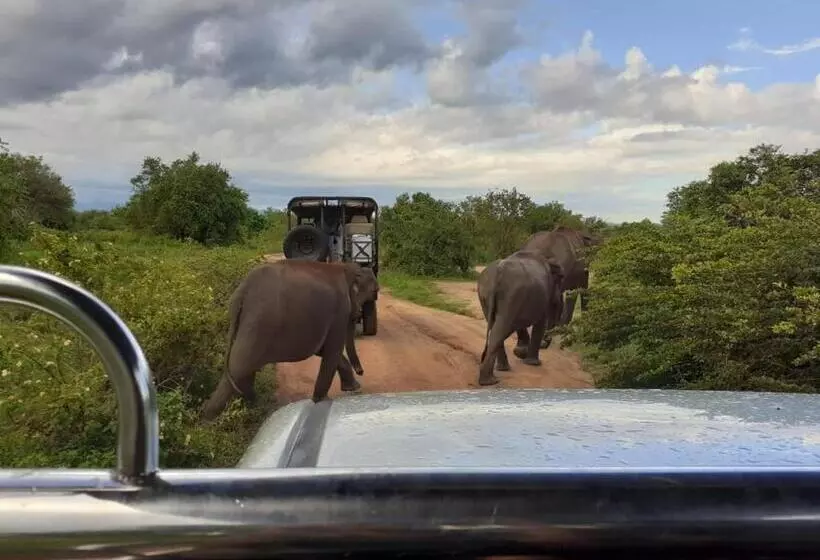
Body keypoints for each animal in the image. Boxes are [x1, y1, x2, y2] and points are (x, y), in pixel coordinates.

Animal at [201, 260, 379, 421]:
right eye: (373, 292)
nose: (362, 372)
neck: (345, 268)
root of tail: (243, 291)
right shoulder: (340, 311)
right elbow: (332, 352)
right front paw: (320, 402)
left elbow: (322, 350)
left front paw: (352, 389)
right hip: (260, 322)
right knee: (238, 367)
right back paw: (208, 420)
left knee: (242, 369)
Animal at [477, 250, 564, 386]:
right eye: (561, 279)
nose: (547, 340)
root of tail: (497, 274)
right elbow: (540, 323)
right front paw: (533, 363)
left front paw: (520, 352)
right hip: (512, 294)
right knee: (501, 328)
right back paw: (490, 381)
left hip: (486, 295)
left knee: (498, 327)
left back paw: (499, 372)